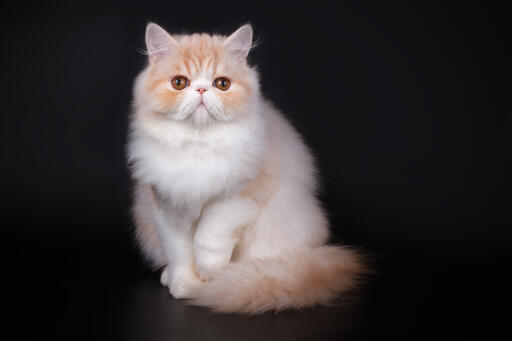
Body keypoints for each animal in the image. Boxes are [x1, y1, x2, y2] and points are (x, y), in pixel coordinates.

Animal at [127, 22, 364, 312]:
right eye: (179, 83)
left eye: (222, 84)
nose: (202, 90)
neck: (198, 144)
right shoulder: (166, 206)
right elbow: (180, 252)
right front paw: (184, 284)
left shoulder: (235, 199)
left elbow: (207, 241)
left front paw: (211, 279)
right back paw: (168, 276)